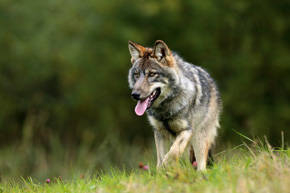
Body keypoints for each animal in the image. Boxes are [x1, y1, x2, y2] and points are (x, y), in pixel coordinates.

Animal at [127, 40, 222, 170]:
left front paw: (166, 165)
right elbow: (161, 158)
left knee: (201, 163)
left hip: (199, 137)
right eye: (136, 75)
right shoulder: (159, 133)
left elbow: (173, 152)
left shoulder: (187, 130)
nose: (135, 95)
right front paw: (161, 171)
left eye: (151, 74)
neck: (165, 108)